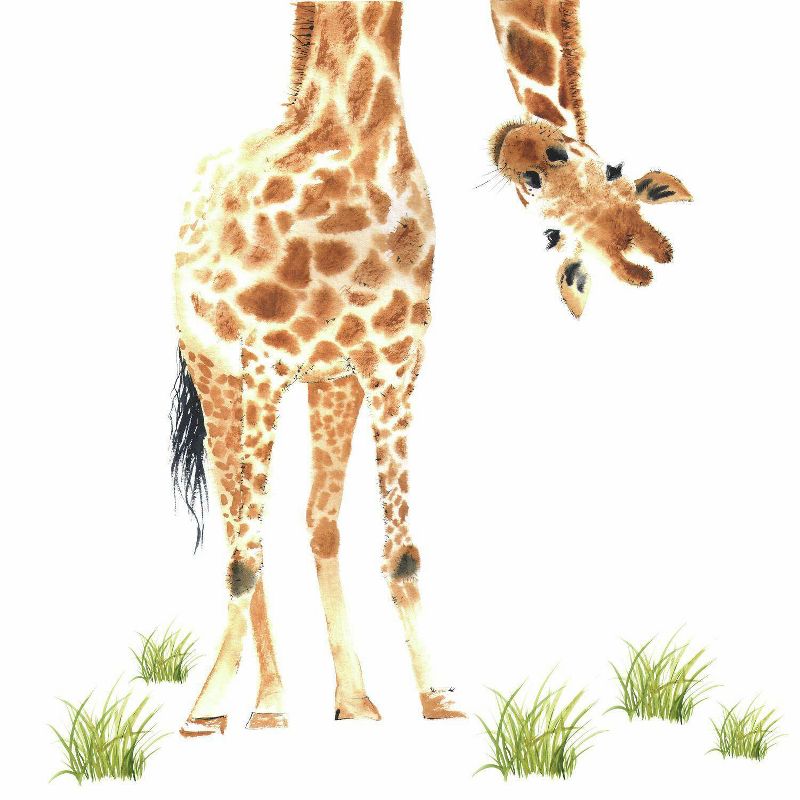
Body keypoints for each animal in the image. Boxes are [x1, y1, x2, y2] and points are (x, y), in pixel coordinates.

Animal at [172, 1, 465, 737]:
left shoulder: (393, 361)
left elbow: (402, 549)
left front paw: (437, 697)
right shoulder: (265, 361)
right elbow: (245, 557)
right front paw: (207, 709)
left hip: (330, 384)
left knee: (316, 519)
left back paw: (352, 699)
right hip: (216, 374)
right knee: (238, 524)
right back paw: (265, 703)